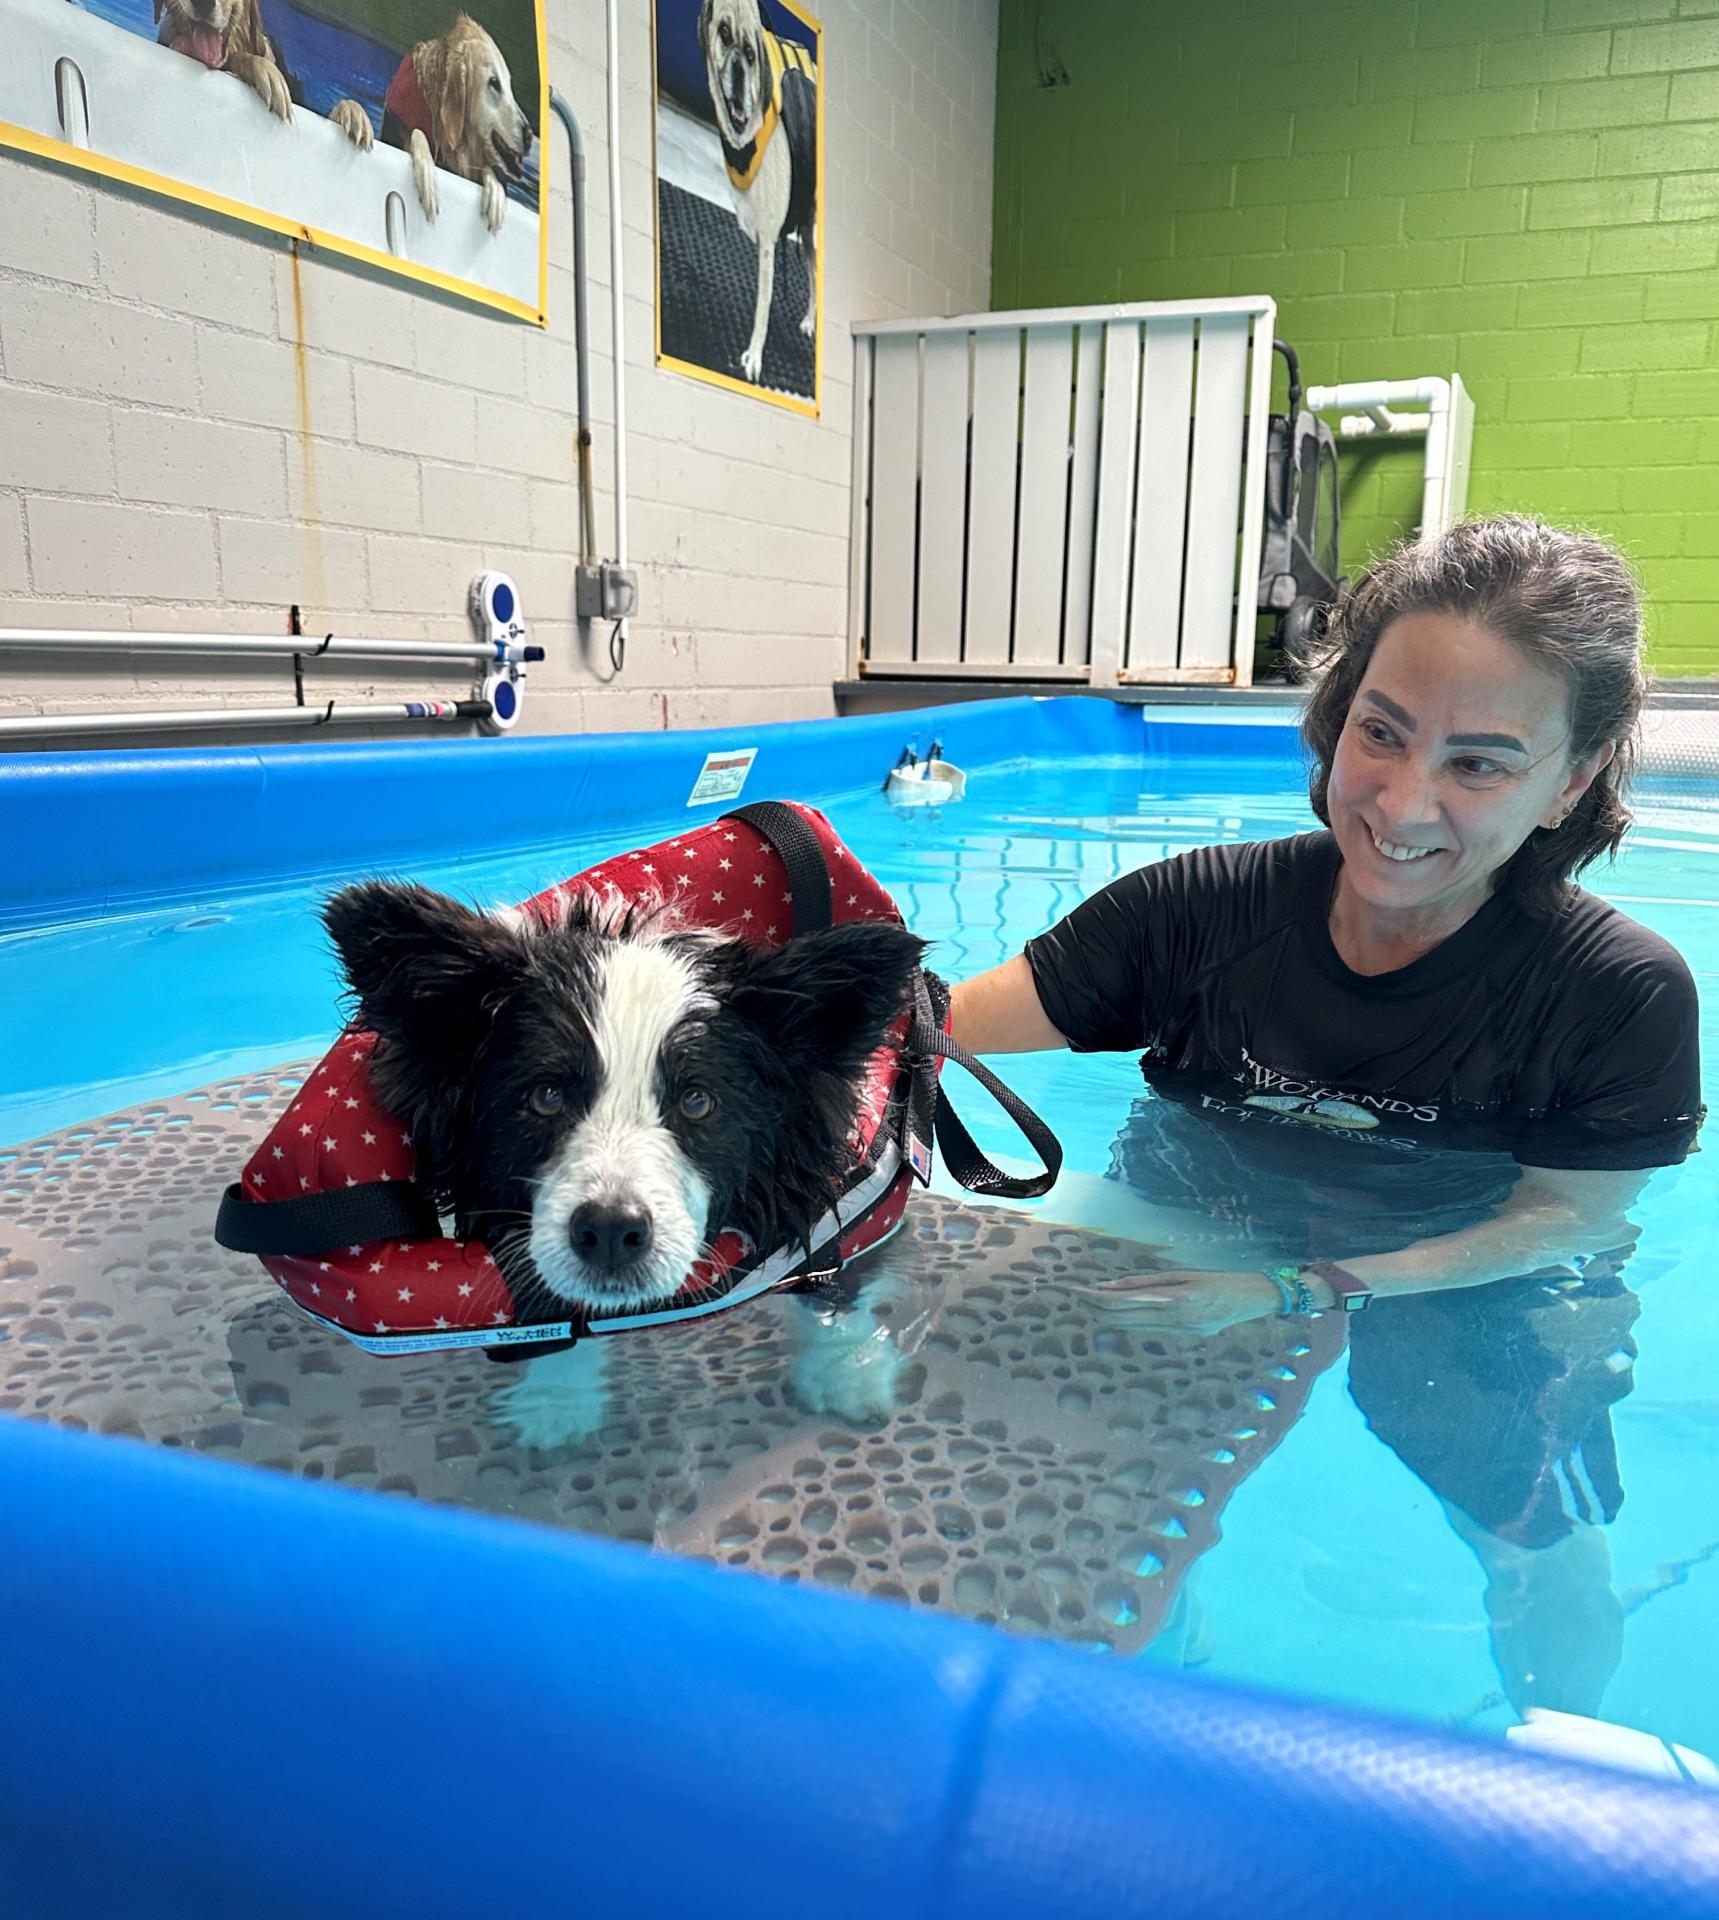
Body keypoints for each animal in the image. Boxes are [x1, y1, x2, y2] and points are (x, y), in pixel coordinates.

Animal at [316, 883, 921, 1443]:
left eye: (696, 1100)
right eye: (546, 1096)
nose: (610, 1231)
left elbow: (828, 1281)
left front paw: (851, 1372)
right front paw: (555, 1403)